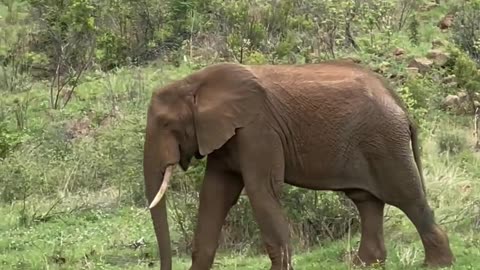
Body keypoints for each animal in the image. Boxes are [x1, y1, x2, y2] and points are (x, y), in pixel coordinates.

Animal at [142, 61, 454, 270]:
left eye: (166, 125)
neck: (194, 82)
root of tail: (400, 103)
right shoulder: (223, 137)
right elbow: (215, 194)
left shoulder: (257, 130)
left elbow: (261, 190)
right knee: (367, 200)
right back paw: (363, 264)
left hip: (385, 141)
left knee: (406, 197)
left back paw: (438, 264)